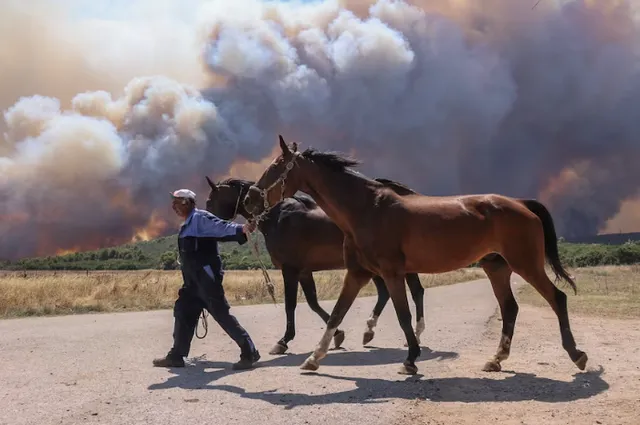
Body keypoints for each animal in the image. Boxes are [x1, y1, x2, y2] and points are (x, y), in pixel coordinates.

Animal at [204, 176, 424, 354]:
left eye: (210, 200)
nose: (206, 225)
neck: (278, 217)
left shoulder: (290, 270)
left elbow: (290, 305)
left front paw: (283, 341)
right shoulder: (303, 271)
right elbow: (313, 303)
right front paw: (338, 334)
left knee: (415, 291)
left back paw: (413, 335)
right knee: (387, 293)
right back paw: (370, 331)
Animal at [245, 135, 592, 374]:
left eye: (276, 167)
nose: (250, 199)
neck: (366, 209)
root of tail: (521, 203)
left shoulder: (391, 273)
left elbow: (403, 314)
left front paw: (411, 359)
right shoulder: (357, 273)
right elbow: (336, 314)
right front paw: (314, 358)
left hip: (526, 264)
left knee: (557, 298)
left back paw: (576, 355)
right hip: (497, 269)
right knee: (510, 309)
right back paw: (496, 359)